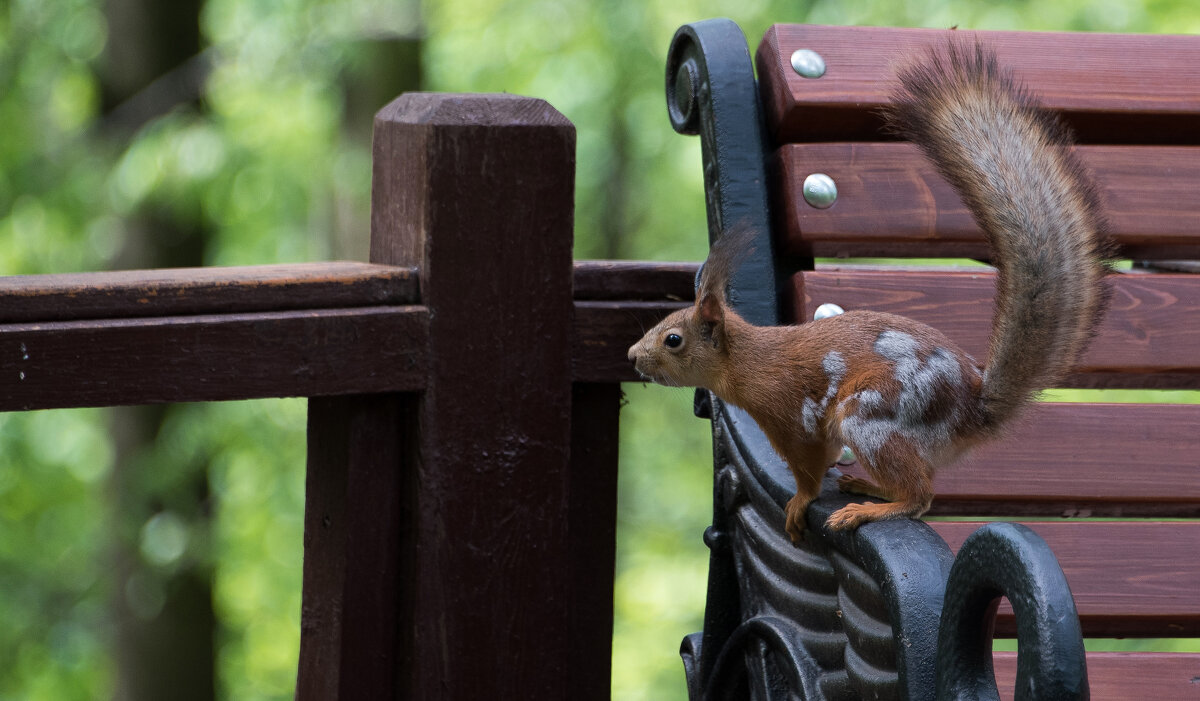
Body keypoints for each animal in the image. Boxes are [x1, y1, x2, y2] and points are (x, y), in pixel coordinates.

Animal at [628, 41, 1104, 542]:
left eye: (673, 340)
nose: (633, 356)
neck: (748, 360)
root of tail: (970, 412)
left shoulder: (790, 419)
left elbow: (808, 471)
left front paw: (799, 504)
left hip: (870, 416)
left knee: (920, 497)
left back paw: (868, 509)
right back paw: (867, 486)